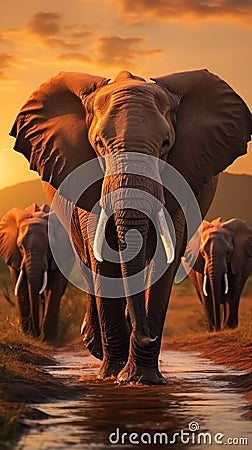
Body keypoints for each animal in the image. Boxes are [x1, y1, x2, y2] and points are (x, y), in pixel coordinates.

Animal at [0, 203, 74, 342]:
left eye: (50, 247)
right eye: (20, 247)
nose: (37, 334)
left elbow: (54, 287)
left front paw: (49, 339)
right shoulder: (14, 255)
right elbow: (21, 288)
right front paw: (29, 335)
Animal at [8, 69, 251, 384]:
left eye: (166, 144)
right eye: (99, 144)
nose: (148, 336)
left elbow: (163, 260)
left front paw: (142, 378)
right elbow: (104, 260)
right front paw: (113, 375)